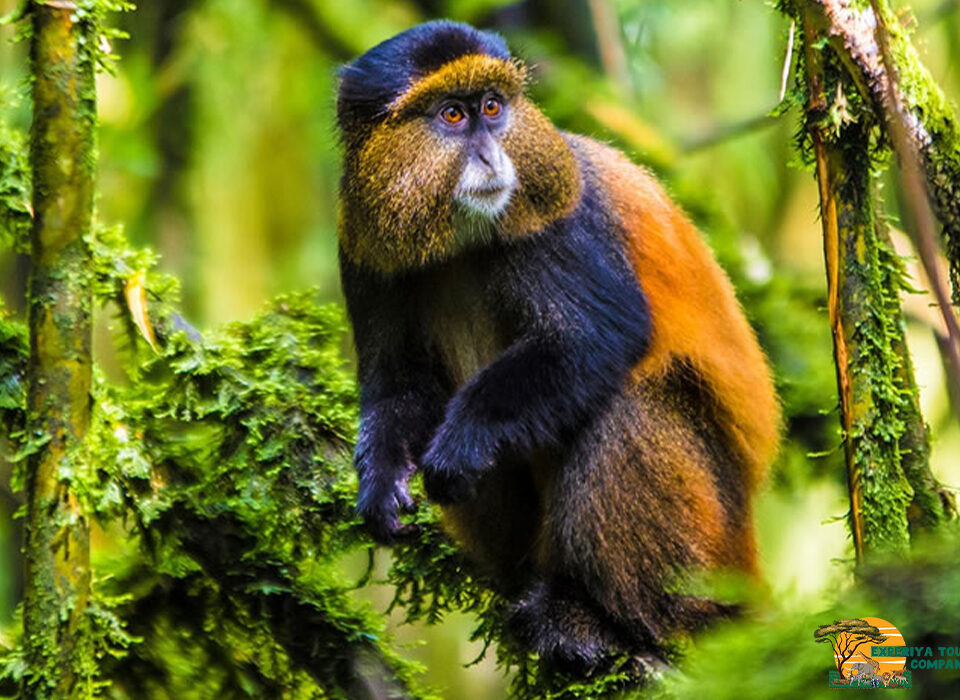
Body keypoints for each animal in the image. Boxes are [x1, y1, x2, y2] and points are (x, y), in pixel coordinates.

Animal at [335, 20, 780, 671]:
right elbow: (398, 383)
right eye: (452, 115)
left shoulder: (558, 222)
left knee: (625, 404)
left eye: (493, 108)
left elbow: (596, 338)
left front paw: (463, 440)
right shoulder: (364, 250)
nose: (492, 155)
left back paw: (602, 620)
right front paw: (382, 478)